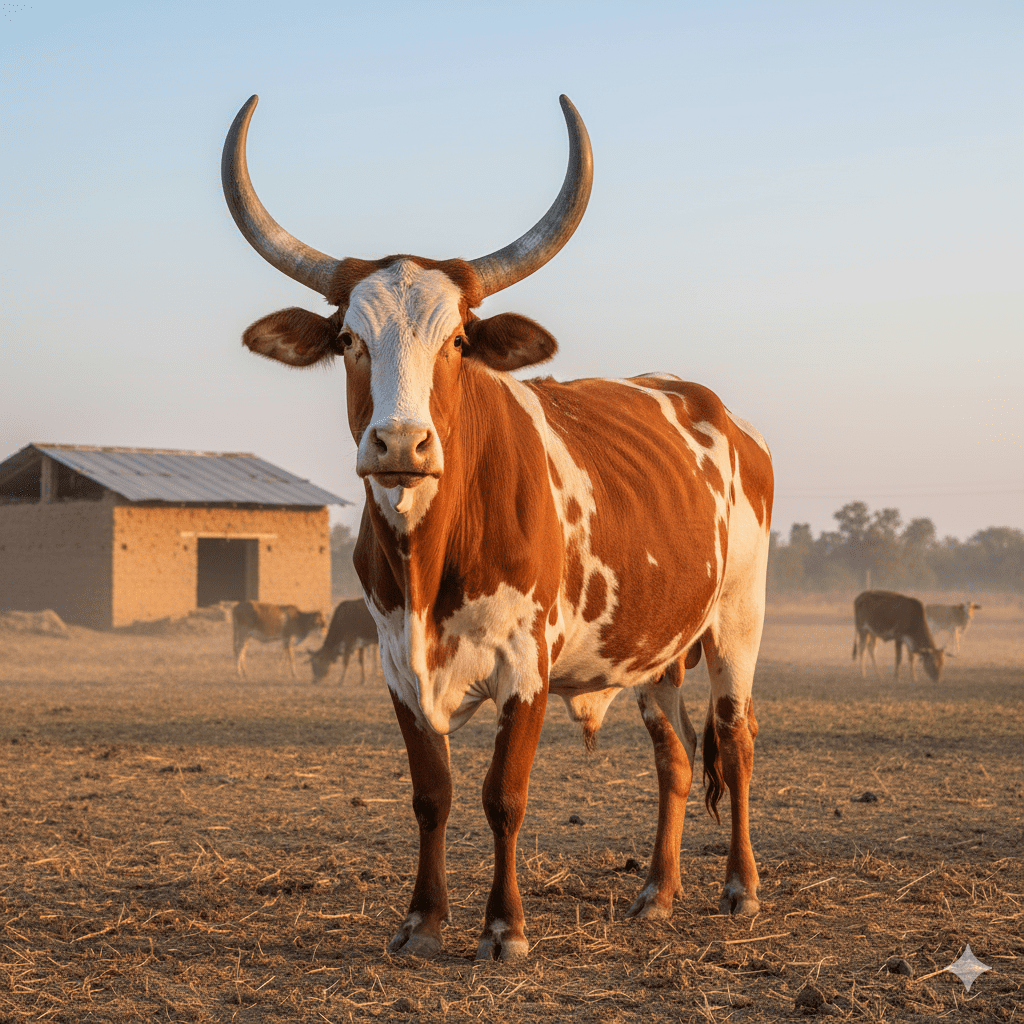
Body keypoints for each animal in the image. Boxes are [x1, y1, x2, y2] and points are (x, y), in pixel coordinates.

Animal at [222, 93, 775, 961]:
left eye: (456, 341)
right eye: (349, 340)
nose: (400, 445)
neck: (429, 557)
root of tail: (709, 404)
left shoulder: (528, 665)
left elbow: (503, 795)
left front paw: (504, 927)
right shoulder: (397, 666)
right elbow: (433, 794)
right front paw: (423, 921)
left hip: (737, 620)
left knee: (738, 740)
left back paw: (741, 888)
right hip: (658, 646)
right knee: (677, 758)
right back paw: (656, 892)